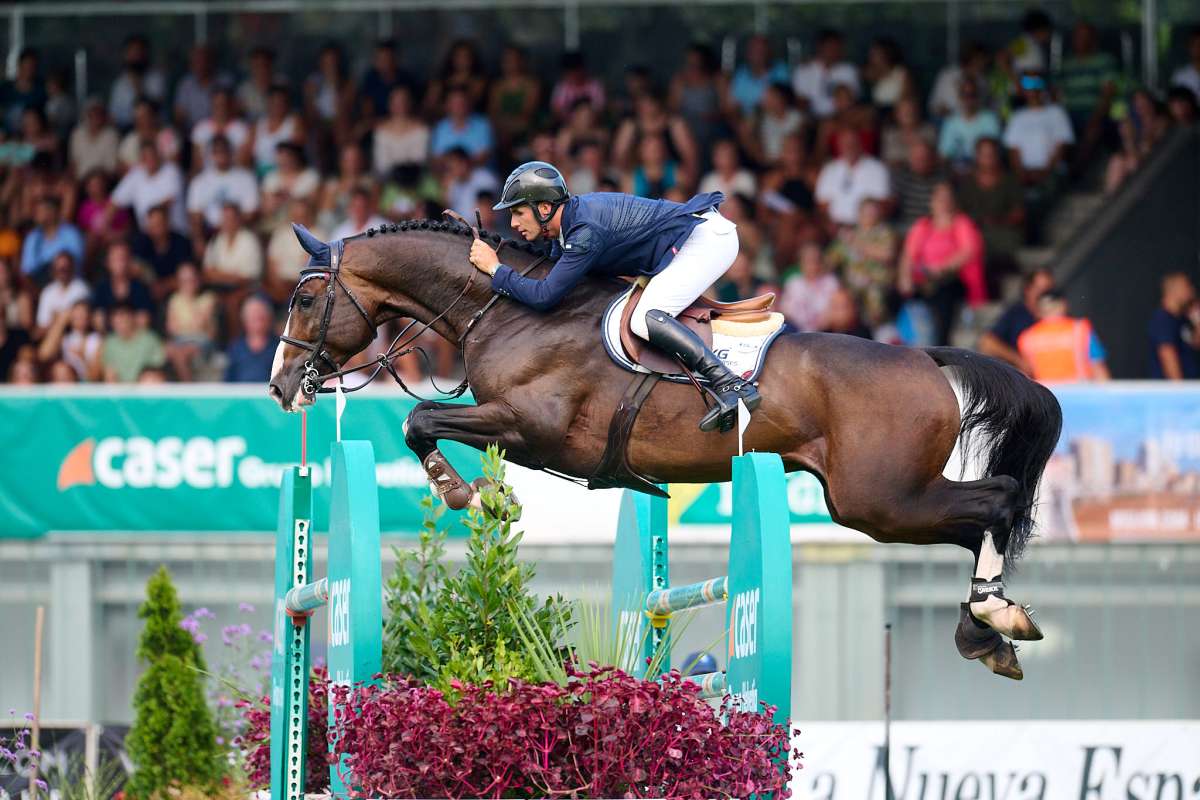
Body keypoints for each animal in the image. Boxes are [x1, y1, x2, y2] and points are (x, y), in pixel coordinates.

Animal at [270, 220, 1060, 681]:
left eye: (306, 300)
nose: (281, 385)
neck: (509, 308)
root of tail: (926, 358)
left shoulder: (531, 426)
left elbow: (421, 419)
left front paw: (469, 493)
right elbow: (427, 420)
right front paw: (483, 494)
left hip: (882, 499)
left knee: (997, 501)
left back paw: (993, 619)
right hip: (873, 503)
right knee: (980, 519)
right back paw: (988, 629)